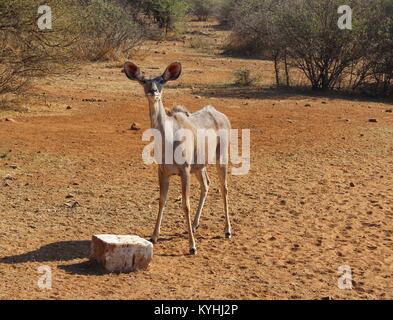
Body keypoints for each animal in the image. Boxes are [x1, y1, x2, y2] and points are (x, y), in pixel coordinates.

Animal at [124, 60, 231, 255]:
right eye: (143, 81)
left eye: (161, 81)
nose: (153, 91)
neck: (167, 138)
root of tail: (221, 115)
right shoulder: (163, 171)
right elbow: (162, 200)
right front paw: (154, 236)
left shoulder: (184, 170)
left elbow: (185, 204)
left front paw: (192, 246)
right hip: (200, 166)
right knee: (207, 184)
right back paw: (195, 225)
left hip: (221, 158)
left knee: (223, 187)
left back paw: (227, 230)